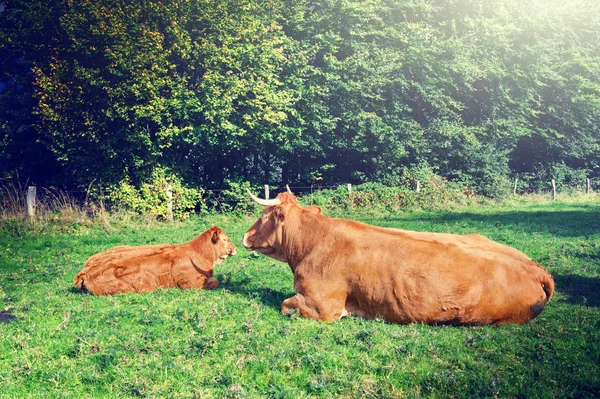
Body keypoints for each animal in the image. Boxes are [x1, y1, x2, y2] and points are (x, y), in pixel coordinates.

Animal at [74, 227, 236, 296]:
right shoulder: (190, 284)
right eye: (225, 239)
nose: (235, 248)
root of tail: (84, 273)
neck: (199, 253)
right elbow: (215, 281)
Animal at [241, 192, 556, 326]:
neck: (311, 242)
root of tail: (537, 269)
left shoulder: (322, 306)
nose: (244, 236)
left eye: (264, 215)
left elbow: (284, 305)